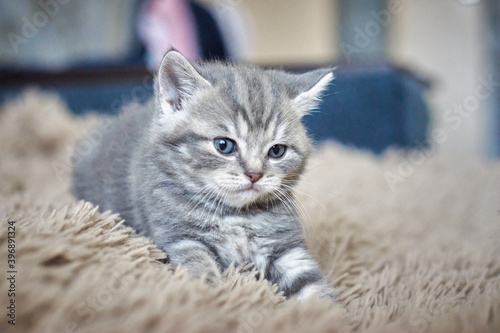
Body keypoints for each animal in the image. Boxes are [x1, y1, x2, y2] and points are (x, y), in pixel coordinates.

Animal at [71, 50, 336, 300]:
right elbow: (199, 270)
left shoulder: (286, 248)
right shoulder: (181, 238)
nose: (254, 174)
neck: (235, 214)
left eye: (277, 151)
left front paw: (327, 312)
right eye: (224, 145)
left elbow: (313, 286)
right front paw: (209, 298)